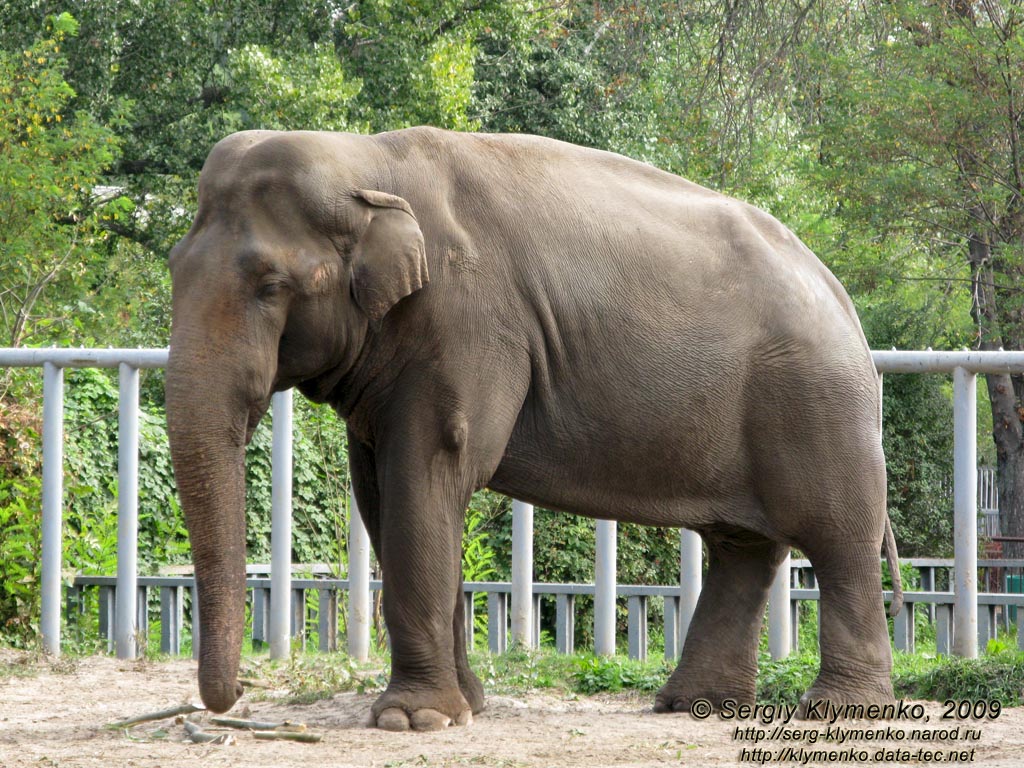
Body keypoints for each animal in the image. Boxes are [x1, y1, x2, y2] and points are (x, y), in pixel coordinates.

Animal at [165, 126, 905, 733]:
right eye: (173, 268)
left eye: (269, 284)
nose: (236, 697)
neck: (369, 160)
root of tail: (840, 295)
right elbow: (382, 493)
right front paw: (466, 707)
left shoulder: (469, 324)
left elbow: (429, 474)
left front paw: (413, 721)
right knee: (743, 549)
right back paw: (693, 708)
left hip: (817, 402)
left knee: (837, 542)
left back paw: (837, 712)